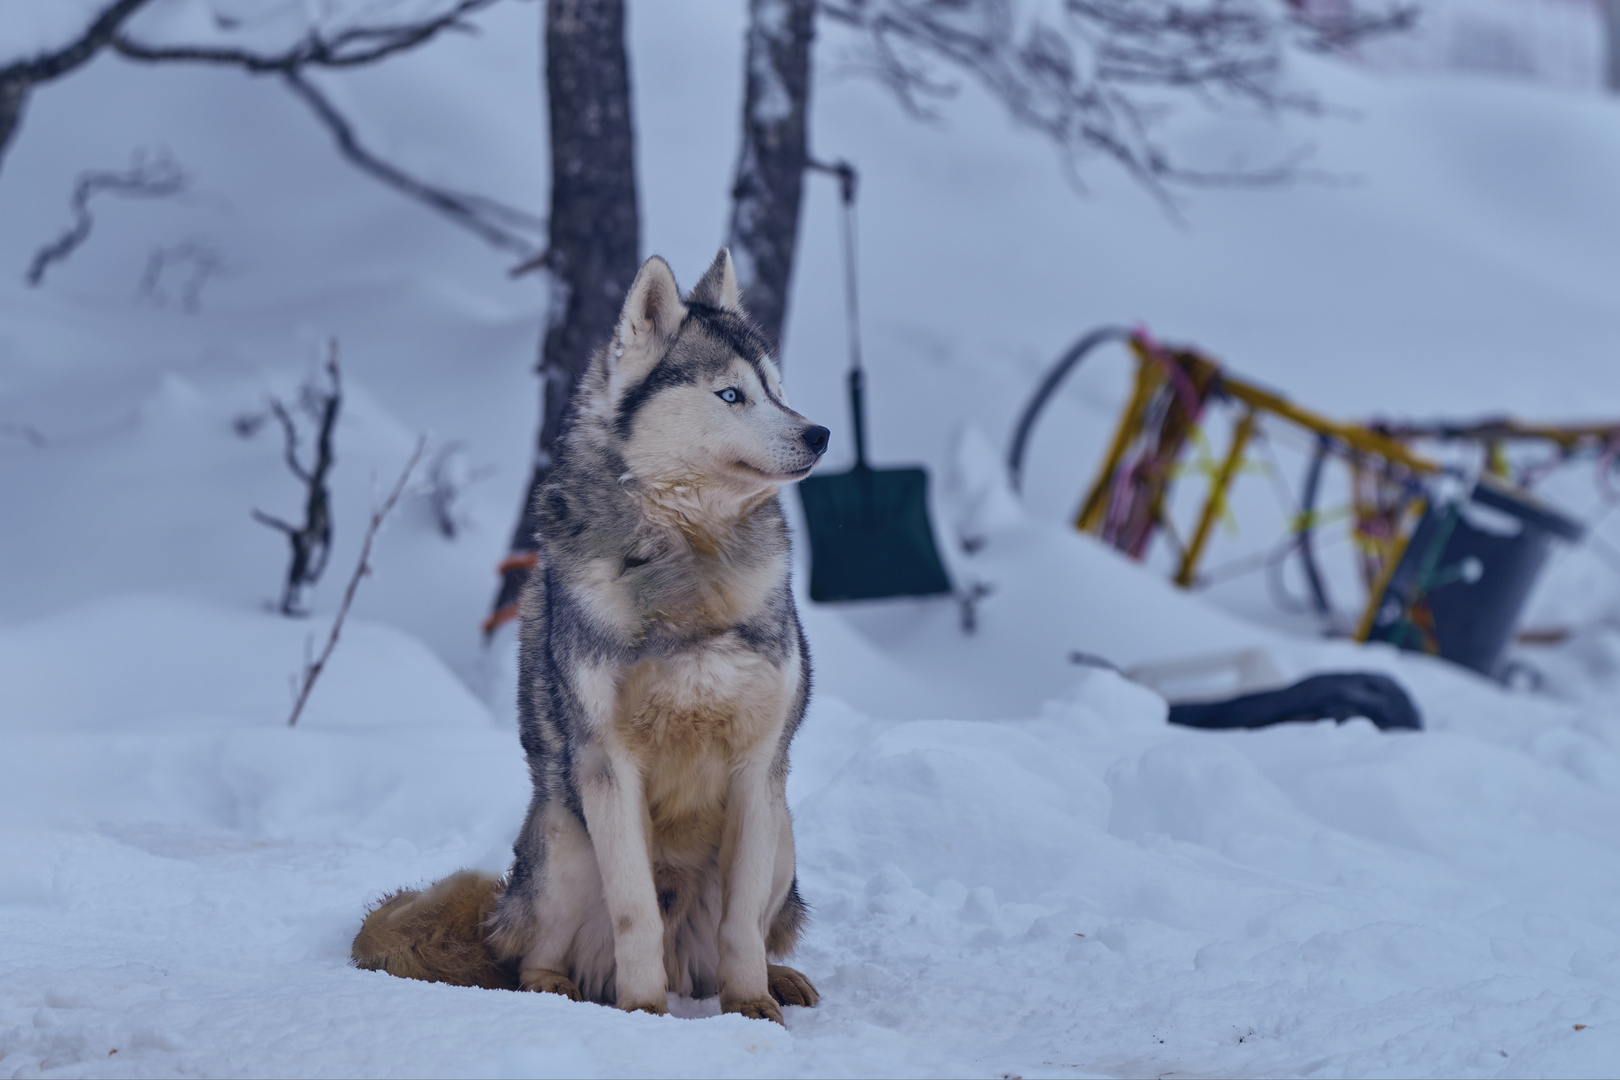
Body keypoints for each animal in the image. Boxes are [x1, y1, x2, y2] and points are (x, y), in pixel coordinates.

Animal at [358, 249, 835, 1029]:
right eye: (731, 395)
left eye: (778, 391)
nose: (819, 433)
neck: (688, 560)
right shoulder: (609, 766)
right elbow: (635, 912)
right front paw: (643, 1014)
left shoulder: (758, 767)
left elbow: (740, 927)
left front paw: (753, 1007)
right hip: (564, 839)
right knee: (534, 958)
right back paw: (564, 988)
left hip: (784, 834)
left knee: (739, 939)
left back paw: (777, 978)